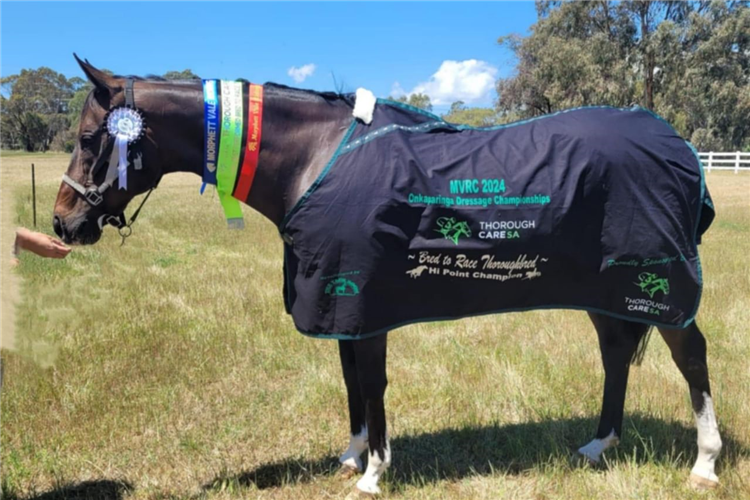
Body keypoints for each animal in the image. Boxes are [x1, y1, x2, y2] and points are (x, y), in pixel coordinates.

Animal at [51, 56, 724, 494]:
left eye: (88, 138)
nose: (64, 223)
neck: (316, 160)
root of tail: (679, 146)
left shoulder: (362, 301)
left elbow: (371, 385)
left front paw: (374, 472)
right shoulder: (339, 302)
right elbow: (351, 382)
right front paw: (351, 457)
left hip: (661, 291)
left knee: (692, 359)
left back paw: (704, 463)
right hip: (607, 292)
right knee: (615, 354)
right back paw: (599, 444)